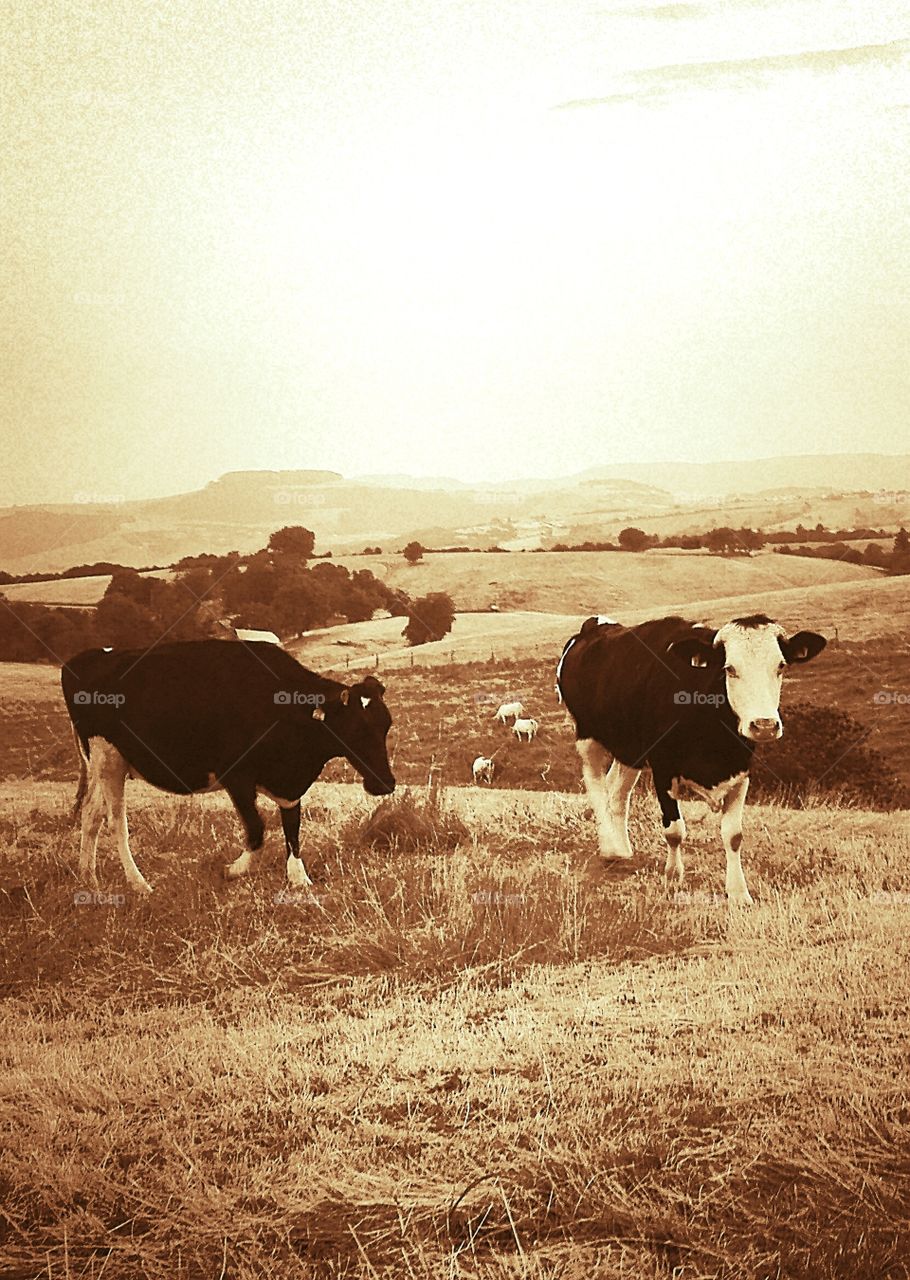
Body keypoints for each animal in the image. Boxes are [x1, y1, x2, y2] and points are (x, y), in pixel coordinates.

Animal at [61, 639, 395, 893]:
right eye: (355, 730)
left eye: (386, 725)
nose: (385, 783)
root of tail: (86, 657)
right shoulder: (237, 776)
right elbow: (258, 829)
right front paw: (233, 870)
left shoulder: (289, 783)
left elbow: (292, 829)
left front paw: (299, 878)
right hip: (108, 757)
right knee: (116, 821)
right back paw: (139, 883)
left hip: (102, 763)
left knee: (91, 814)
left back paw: (88, 877)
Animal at [556, 614, 826, 903]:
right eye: (729, 669)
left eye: (781, 666)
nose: (764, 725)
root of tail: (595, 625)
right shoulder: (663, 768)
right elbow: (674, 831)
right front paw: (673, 877)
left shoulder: (741, 772)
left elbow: (734, 836)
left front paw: (738, 892)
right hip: (587, 737)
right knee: (596, 786)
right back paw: (609, 846)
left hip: (631, 748)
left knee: (617, 790)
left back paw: (622, 848)